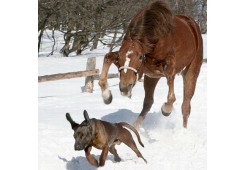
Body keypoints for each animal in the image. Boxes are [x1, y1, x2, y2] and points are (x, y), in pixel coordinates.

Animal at [97, 0, 203, 129]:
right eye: (120, 57)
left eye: (140, 56)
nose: (125, 88)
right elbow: (107, 57)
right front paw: (107, 96)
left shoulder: (169, 65)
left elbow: (171, 96)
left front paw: (166, 109)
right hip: (152, 77)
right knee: (148, 102)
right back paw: (134, 127)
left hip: (191, 72)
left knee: (186, 105)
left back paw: (183, 129)